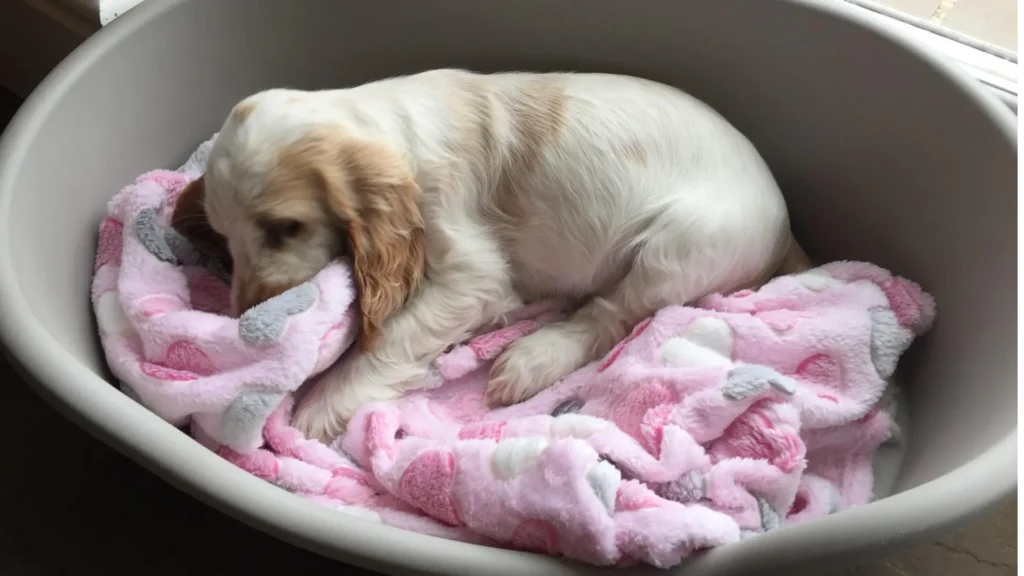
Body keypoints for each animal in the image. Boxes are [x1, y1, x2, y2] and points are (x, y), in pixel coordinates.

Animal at [172, 69, 802, 440]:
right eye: (223, 238)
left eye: (286, 227)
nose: (246, 316)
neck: (385, 127)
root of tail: (785, 227)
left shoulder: (471, 275)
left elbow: (394, 336)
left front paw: (322, 405)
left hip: (676, 249)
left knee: (610, 316)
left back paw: (530, 360)